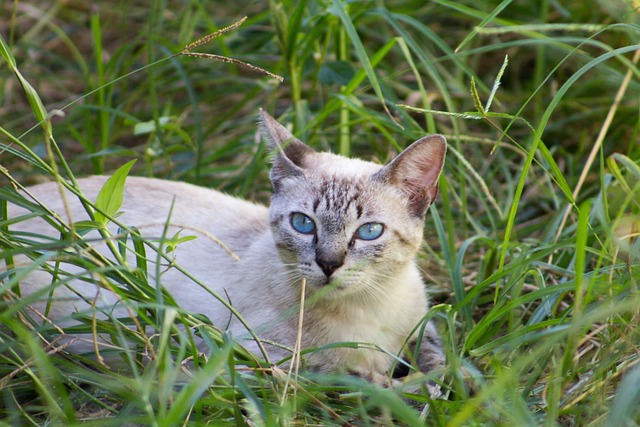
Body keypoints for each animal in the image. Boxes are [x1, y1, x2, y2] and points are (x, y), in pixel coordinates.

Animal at [2, 109, 448, 384]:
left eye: (369, 232)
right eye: (303, 224)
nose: (328, 263)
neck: (367, 309)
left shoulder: (422, 324)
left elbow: (442, 364)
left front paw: (434, 384)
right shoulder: (247, 361)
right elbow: (346, 377)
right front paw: (390, 384)